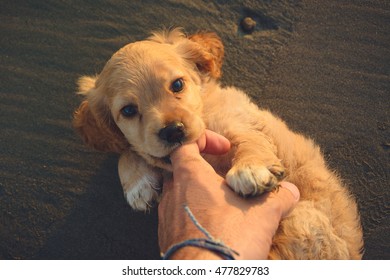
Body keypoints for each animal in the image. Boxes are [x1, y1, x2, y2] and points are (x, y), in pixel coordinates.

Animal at [72, 27, 362, 258]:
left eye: (177, 85)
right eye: (129, 111)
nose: (173, 131)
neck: (204, 110)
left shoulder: (240, 120)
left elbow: (247, 140)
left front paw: (250, 170)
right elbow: (129, 151)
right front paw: (136, 183)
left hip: (304, 219)